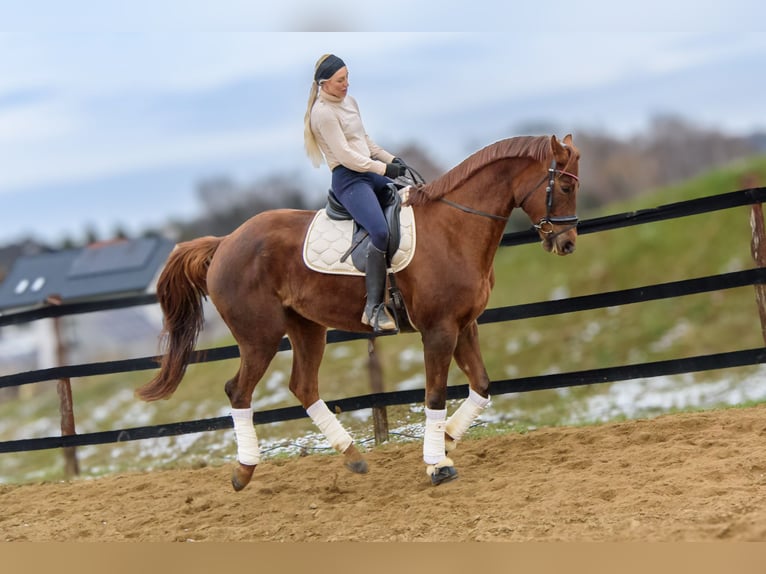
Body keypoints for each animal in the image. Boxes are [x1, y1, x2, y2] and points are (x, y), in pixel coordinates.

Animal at [135, 133, 581, 489]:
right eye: (562, 185)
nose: (567, 243)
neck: (454, 227)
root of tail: (225, 241)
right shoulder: (438, 330)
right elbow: (435, 393)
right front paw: (437, 464)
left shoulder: (464, 325)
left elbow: (482, 386)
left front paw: (448, 441)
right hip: (259, 337)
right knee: (239, 391)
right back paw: (244, 471)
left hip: (307, 328)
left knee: (303, 386)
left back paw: (351, 455)